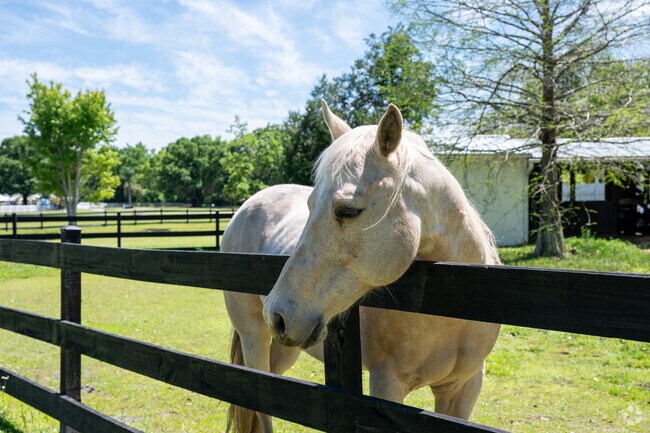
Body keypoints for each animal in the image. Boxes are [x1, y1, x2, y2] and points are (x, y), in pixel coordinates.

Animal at [222, 101, 501, 433]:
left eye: (348, 211)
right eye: (310, 205)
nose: (277, 314)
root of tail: (244, 208)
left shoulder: (464, 388)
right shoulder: (386, 388)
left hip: (285, 347)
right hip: (253, 338)